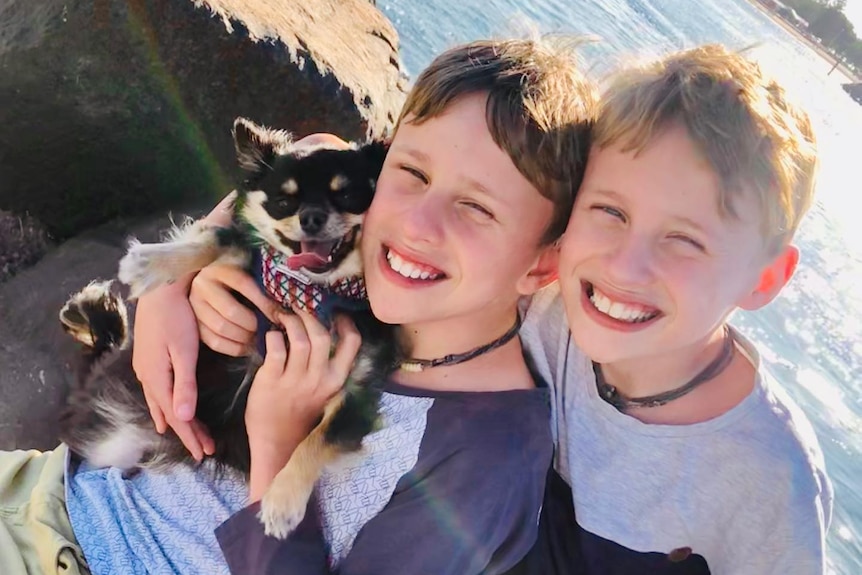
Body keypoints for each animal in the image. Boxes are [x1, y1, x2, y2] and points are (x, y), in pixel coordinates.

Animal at [59, 118, 404, 540]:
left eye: (349, 195)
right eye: (283, 202)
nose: (310, 217)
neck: (314, 292)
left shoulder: (358, 392)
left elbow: (317, 438)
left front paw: (282, 502)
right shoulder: (250, 265)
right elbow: (216, 240)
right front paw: (150, 263)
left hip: (113, 441)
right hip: (115, 432)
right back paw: (89, 313)